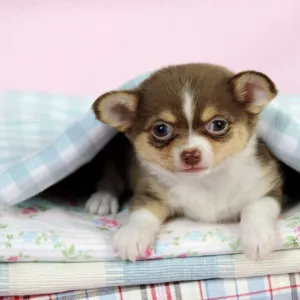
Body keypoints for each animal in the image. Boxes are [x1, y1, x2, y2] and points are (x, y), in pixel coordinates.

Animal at [86, 62, 282, 260]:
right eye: (161, 129)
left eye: (218, 124)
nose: (190, 154)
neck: (205, 183)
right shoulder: (149, 191)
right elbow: (142, 212)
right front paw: (132, 235)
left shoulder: (270, 189)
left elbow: (256, 207)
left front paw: (257, 236)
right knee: (110, 178)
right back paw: (102, 199)